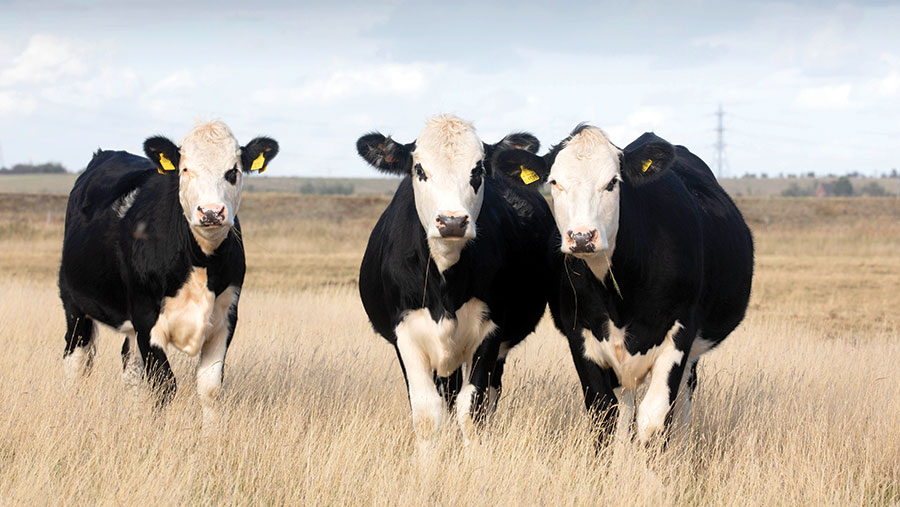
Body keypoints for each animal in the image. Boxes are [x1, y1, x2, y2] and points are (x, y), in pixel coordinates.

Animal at [58, 121, 276, 422]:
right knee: (76, 362)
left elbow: (210, 389)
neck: (201, 261)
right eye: (185, 169)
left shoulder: (226, 319)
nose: (211, 212)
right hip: (75, 307)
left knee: (130, 369)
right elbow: (164, 385)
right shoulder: (146, 317)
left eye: (233, 170)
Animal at [356, 115, 556, 448]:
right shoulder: (406, 334)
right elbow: (426, 413)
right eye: (419, 169)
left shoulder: (490, 331)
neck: (444, 286)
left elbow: (473, 411)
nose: (452, 221)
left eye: (478, 169)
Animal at [496, 126, 756, 444]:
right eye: (555, 182)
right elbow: (605, 417)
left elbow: (654, 420)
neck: (617, 293)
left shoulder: (679, 333)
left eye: (612, 183)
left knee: (684, 396)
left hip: (692, 352)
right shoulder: (581, 336)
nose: (581, 237)